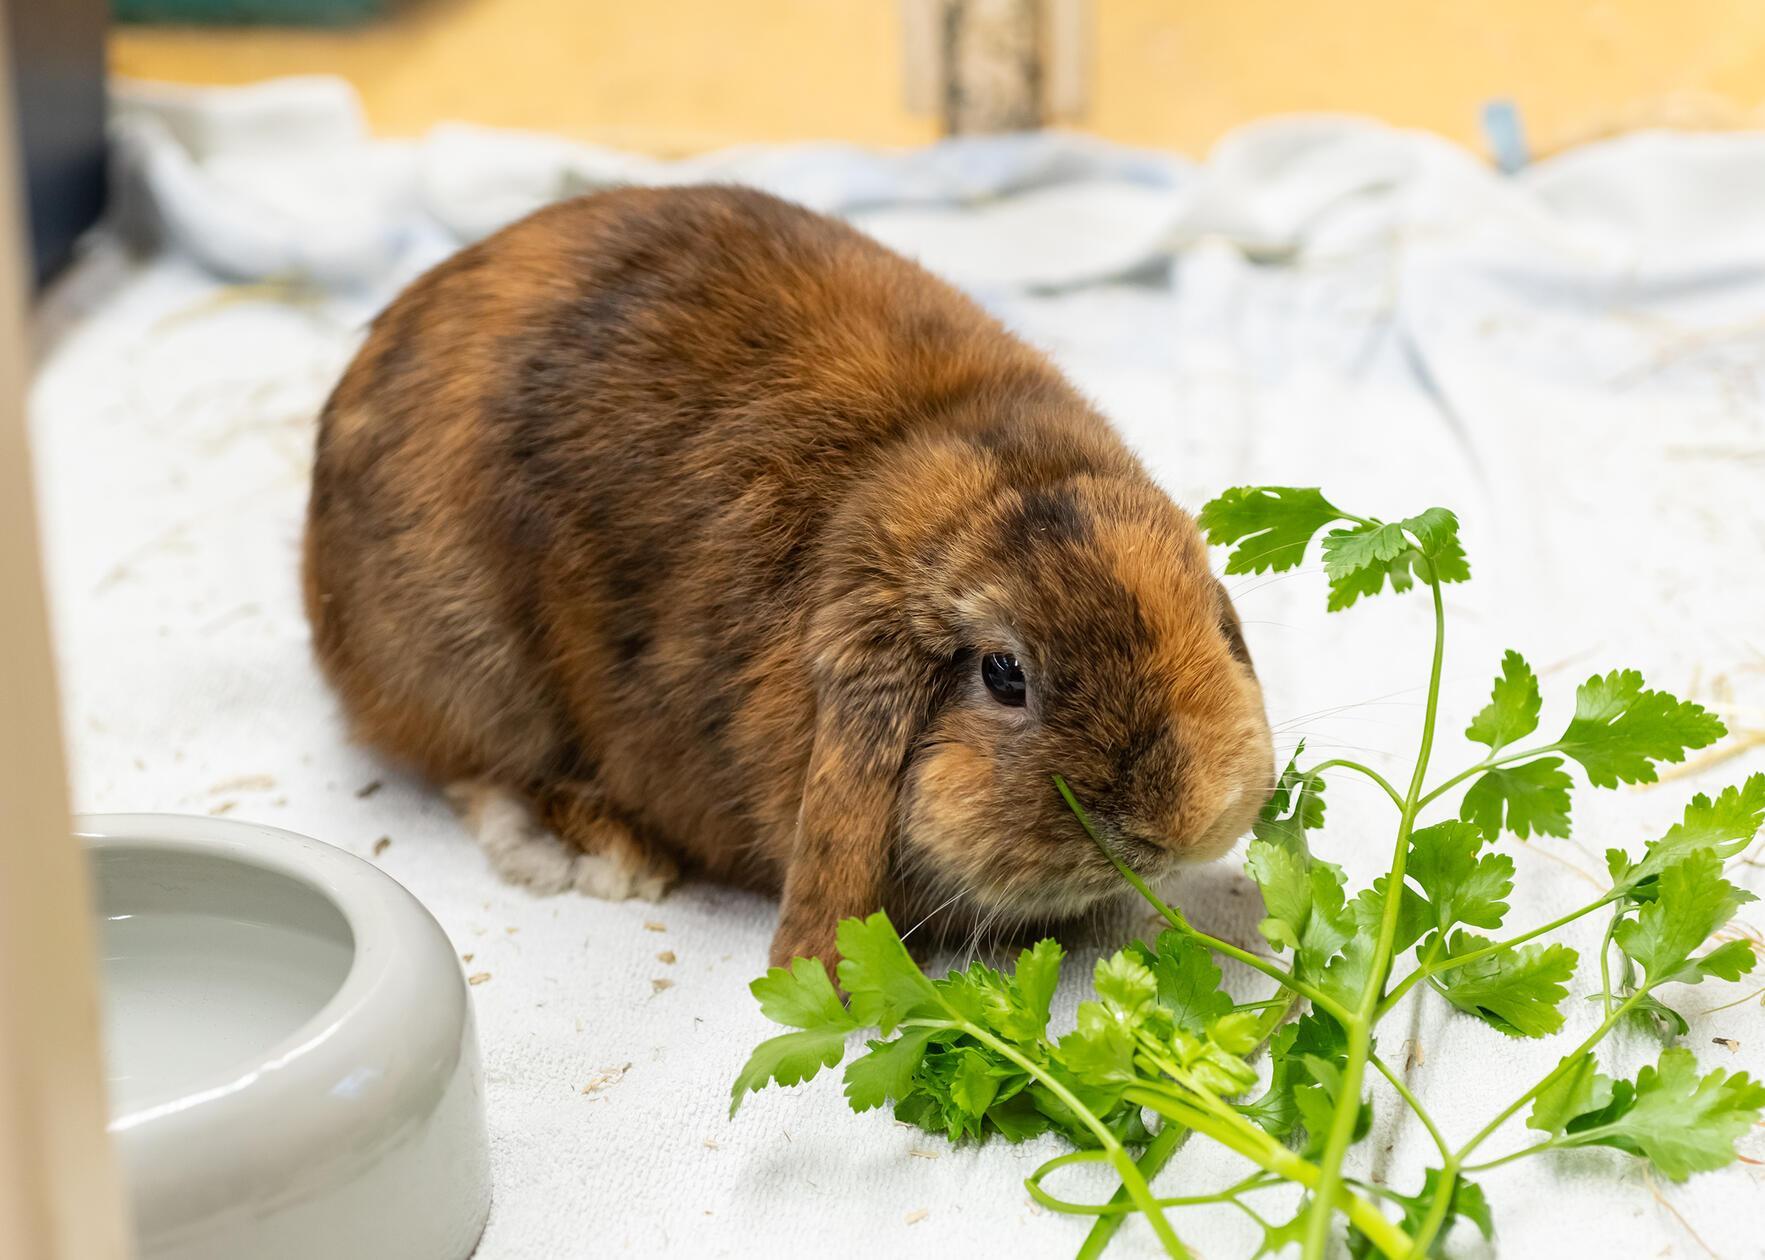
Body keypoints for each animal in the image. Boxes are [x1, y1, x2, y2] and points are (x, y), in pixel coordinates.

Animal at [303, 185, 1276, 967]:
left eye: (1207, 617)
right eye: (1004, 675)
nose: (1178, 822)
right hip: (471, 669)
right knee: (479, 770)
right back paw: (609, 855)